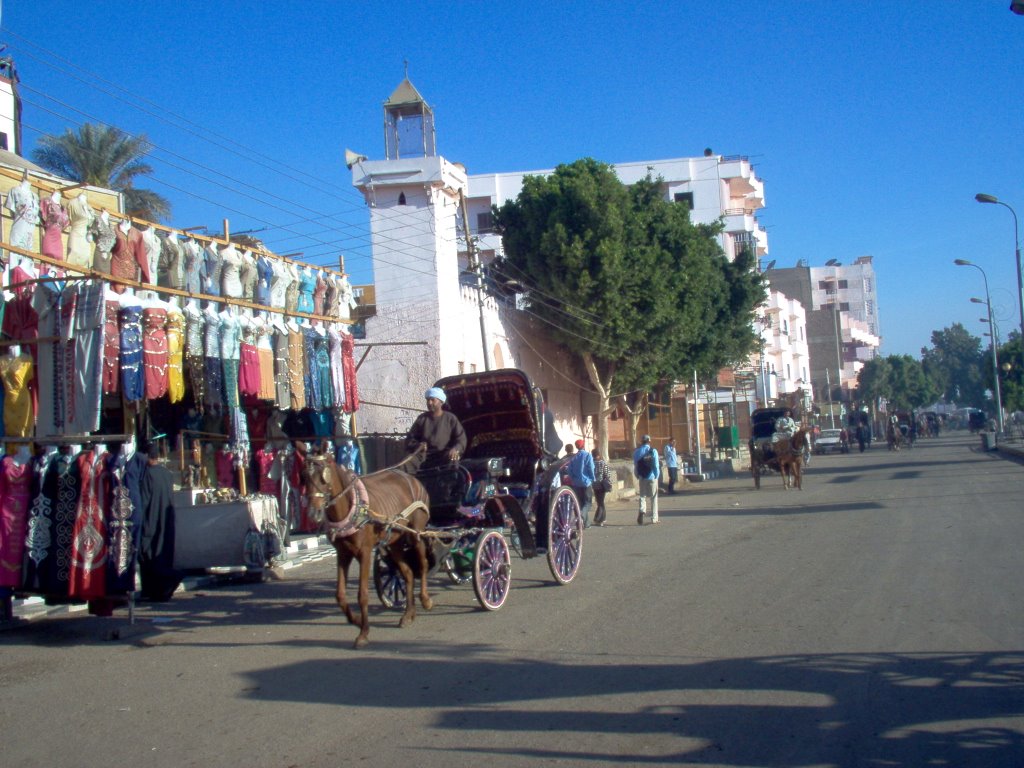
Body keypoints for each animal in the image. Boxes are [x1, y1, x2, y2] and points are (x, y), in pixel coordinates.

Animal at [301, 444, 434, 651]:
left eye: (325, 476)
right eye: (304, 476)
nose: (313, 512)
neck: (351, 506)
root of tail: (412, 478)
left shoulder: (364, 552)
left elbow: (362, 594)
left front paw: (363, 633)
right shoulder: (343, 553)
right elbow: (340, 595)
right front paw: (356, 620)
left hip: (416, 532)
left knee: (423, 564)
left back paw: (426, 600)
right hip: (394, 541)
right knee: (408, 573)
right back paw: (408, 614)